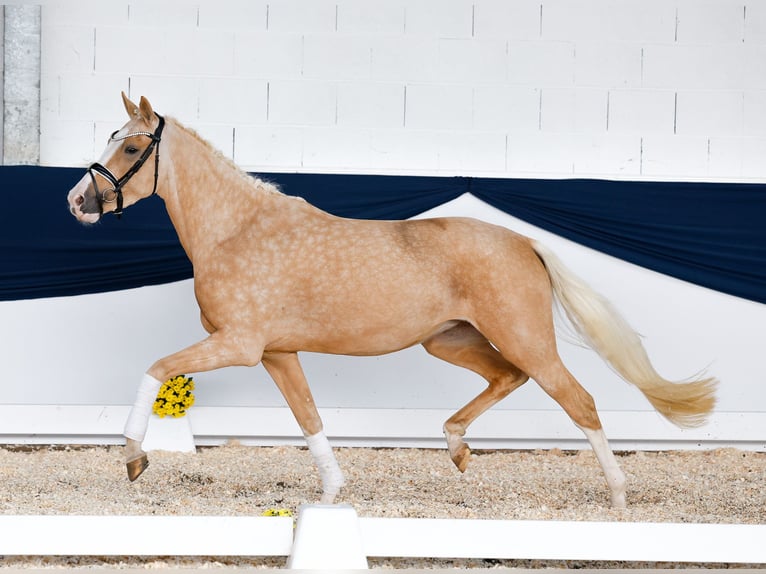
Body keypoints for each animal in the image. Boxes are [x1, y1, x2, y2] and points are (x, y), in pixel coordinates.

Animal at [67, 94, 720, 508]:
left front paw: (134, 457)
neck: (237, 231)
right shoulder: (277, 353)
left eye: (131, 149)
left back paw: (618, 495)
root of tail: (525, 243)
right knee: (506, 379)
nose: (78, 202)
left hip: (524, 338)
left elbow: (155, 368)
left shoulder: (238, 345)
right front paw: (333, 491)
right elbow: (309, 418)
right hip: (450, 340)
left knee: (578, 400)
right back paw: (457, 449)